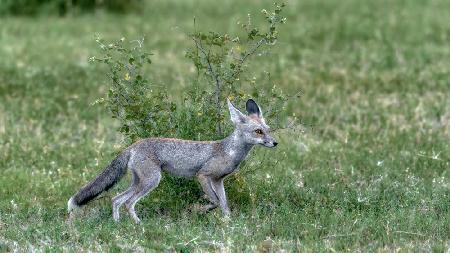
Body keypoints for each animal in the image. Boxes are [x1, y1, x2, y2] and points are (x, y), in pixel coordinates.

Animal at [67, 99, 278, 223]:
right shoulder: (203, 176)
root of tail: (134, 145)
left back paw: (118, 223)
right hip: (152, 181)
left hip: (139, 181)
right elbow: (215, 201)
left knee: (116, 199)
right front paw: (200, 210)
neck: (229, 151)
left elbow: (224, 204)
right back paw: (138, 225)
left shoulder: (218, 180)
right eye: (258, 132)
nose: (275, 142)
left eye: (268, 129)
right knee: (128, 203)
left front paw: (228, 223)